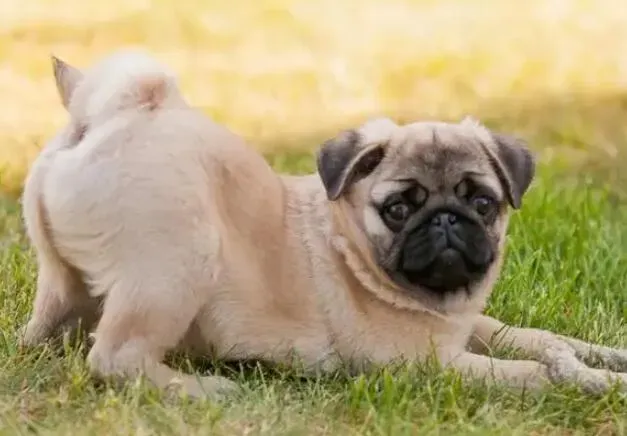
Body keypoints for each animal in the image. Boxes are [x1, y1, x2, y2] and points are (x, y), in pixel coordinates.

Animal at [19, 49, 627, 400]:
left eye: (482, 202)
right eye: (398, 208)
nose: (446, 221)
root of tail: (103, 123)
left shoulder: (465, 326)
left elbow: (537, 338)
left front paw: (600, 359)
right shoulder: (424, 360)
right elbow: (530, 371)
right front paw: (590, 382)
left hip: (60, 282)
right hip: (177, 267)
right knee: (116, 358)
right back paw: (202, 388)